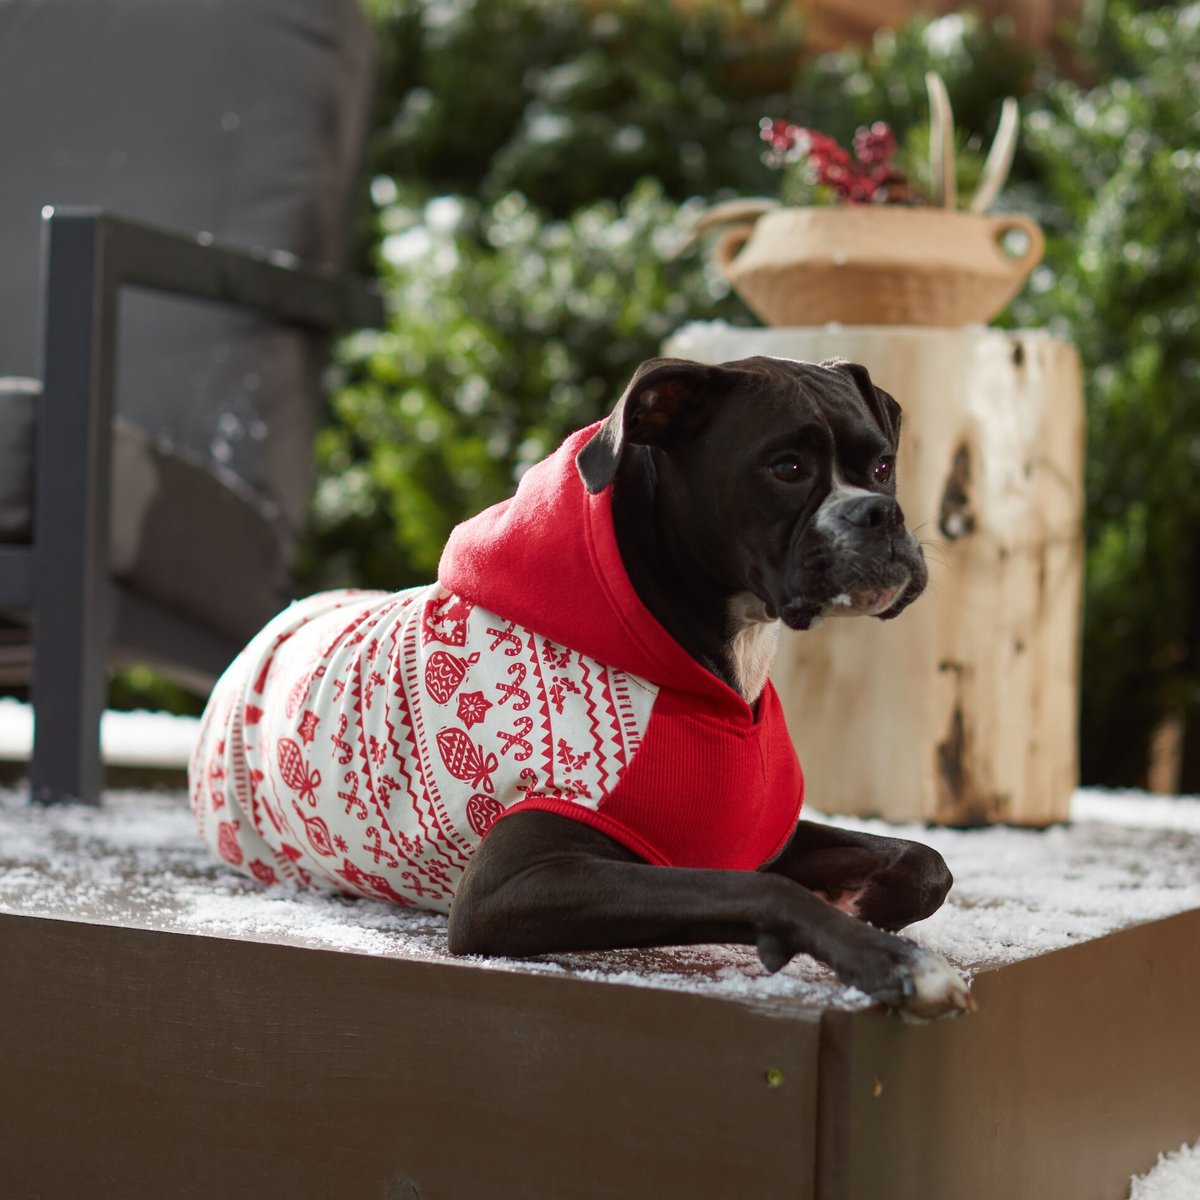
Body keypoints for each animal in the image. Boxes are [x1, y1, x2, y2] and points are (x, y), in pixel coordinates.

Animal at [189, 355, 974, 1022]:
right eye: (787, 467)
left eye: (882, 465)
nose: (880, 513)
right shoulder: (511, 885)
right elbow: (759, 888)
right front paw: (888, 960)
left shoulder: (753, 833)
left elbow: (924, 862)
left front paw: (868, 905)